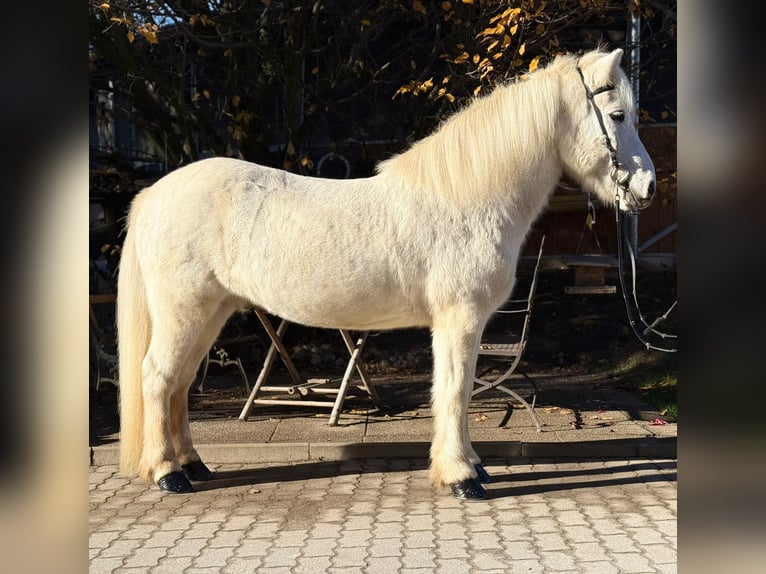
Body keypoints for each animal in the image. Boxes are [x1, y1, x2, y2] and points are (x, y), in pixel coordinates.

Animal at [117, 48, 655, 499]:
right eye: (618, 115)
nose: (647, 187)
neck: (468, 197)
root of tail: (155, 193)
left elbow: (455, 391)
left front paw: (470, 467)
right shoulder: (459, 319)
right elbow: (455, 391)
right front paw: (462, 478)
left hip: (210, 314)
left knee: (180, 383)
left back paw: (193, 465)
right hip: (186, 313)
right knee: (158, 378)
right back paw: (168, 474)